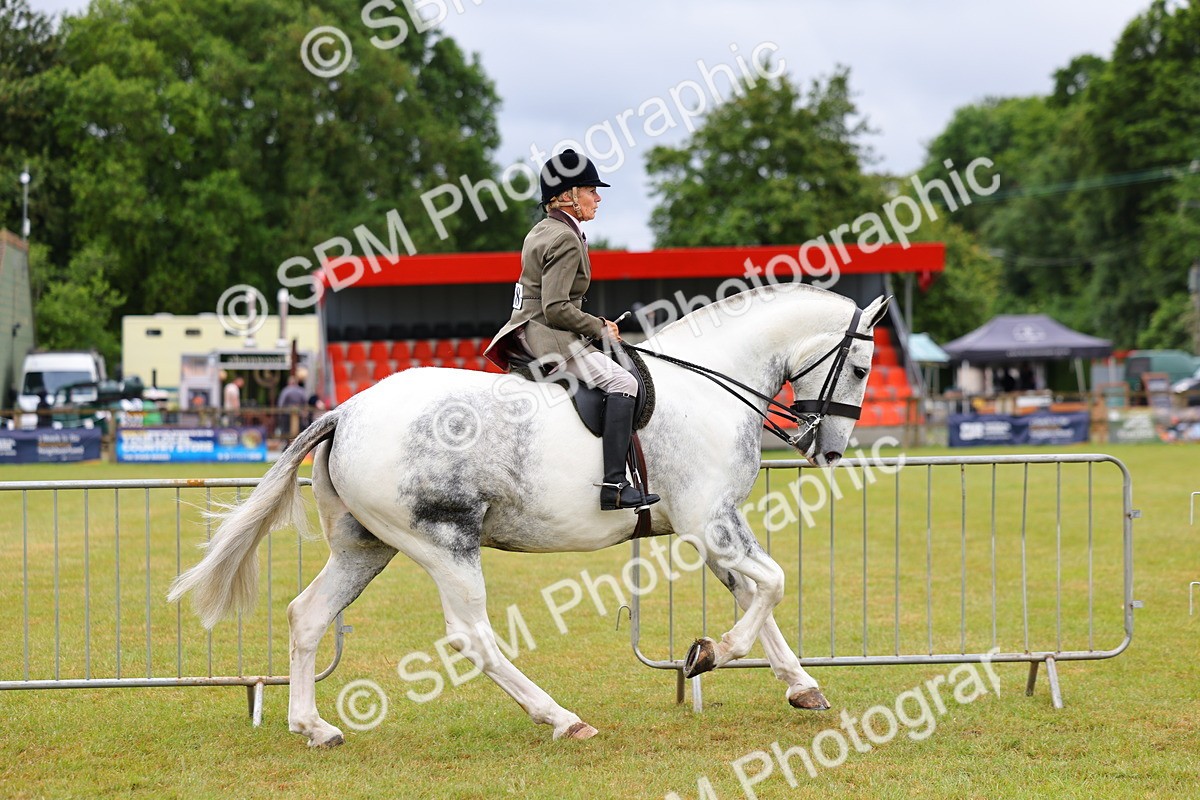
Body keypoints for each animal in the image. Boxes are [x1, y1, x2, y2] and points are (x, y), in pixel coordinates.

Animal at [169, 284, 889, 747]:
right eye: (859, 366)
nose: (829, 450)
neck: (709, 384)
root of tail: (345, 410)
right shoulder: (707, 520)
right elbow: (771, 586)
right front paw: (706, 655)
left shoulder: (712, 527)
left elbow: (754, 593)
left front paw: (800, 687)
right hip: (444, 543)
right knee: (473, 636)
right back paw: (562, 718)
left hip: (366, 547)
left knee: (308, 614)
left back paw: (313, 727)